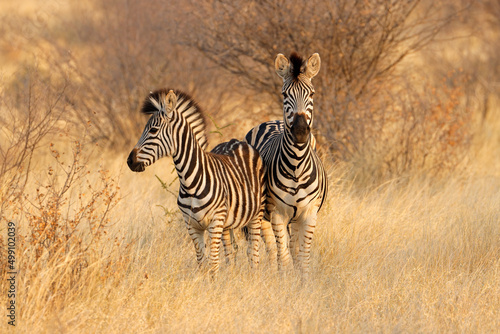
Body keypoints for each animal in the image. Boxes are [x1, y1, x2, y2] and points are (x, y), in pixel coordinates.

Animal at [127, 88, 266, 274]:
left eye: (154, 130)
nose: (130, 161)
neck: (190, 181)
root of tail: (237, 141)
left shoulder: (215, 222)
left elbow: (213, 262)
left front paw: (214, 282)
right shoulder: (192, 225)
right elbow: (201, 261)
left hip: (256, 214)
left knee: (253, 252)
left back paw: (254, 275)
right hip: (227, 223)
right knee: (230, 254)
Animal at [243, 52, 328, 274]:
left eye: (312, 94)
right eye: (284, 94)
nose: (300, 131)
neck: (296, 165)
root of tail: (273, 121)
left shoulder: (309, 213)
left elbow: (303, 258)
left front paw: (302, 280)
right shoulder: (277, 213)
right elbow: (283, 257)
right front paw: (284, 279)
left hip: (296, 217)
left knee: (293, 247)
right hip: (263, 214)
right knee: (271, 249)